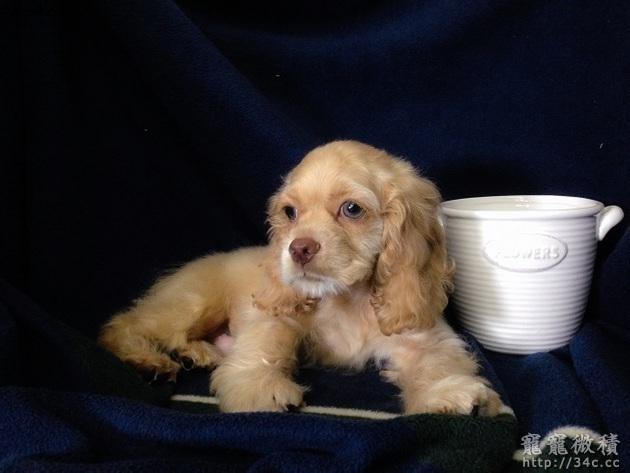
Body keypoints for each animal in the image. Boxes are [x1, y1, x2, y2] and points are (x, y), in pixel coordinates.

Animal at [99, 140, 504, 415]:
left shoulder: (423, 338)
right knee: (122, 326)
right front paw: (261, 389)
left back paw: (198, 353)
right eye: (290, 212)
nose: (299, 249)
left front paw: (448, 394)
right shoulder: (279, 315)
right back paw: (150, 362)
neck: (348, 298)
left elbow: (437, 364)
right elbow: (266, 345)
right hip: (193, 304)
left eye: (351, 209)